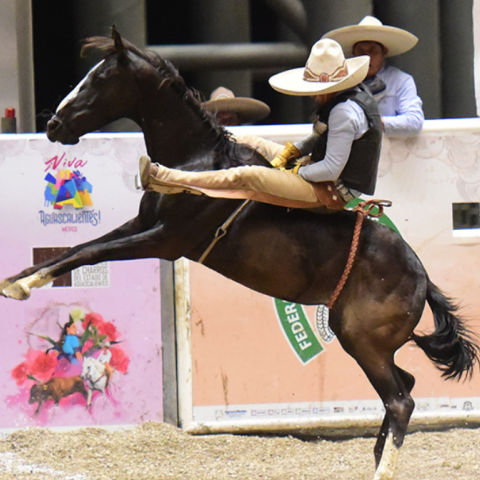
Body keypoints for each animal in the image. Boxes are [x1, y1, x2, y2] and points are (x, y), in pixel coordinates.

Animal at [0, 29, 478, 480]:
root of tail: (422, 277)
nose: (54, 124)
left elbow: (91, 253)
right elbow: (75, 248)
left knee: (400, 401)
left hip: (362, 340)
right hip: (370, 344)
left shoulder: (164, 240)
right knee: (405, 386)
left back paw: (382, 468)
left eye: (99, 79)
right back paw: (377, 457)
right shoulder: (141, 226)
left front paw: (21, 286)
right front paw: (18, 280)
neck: (195, 163)